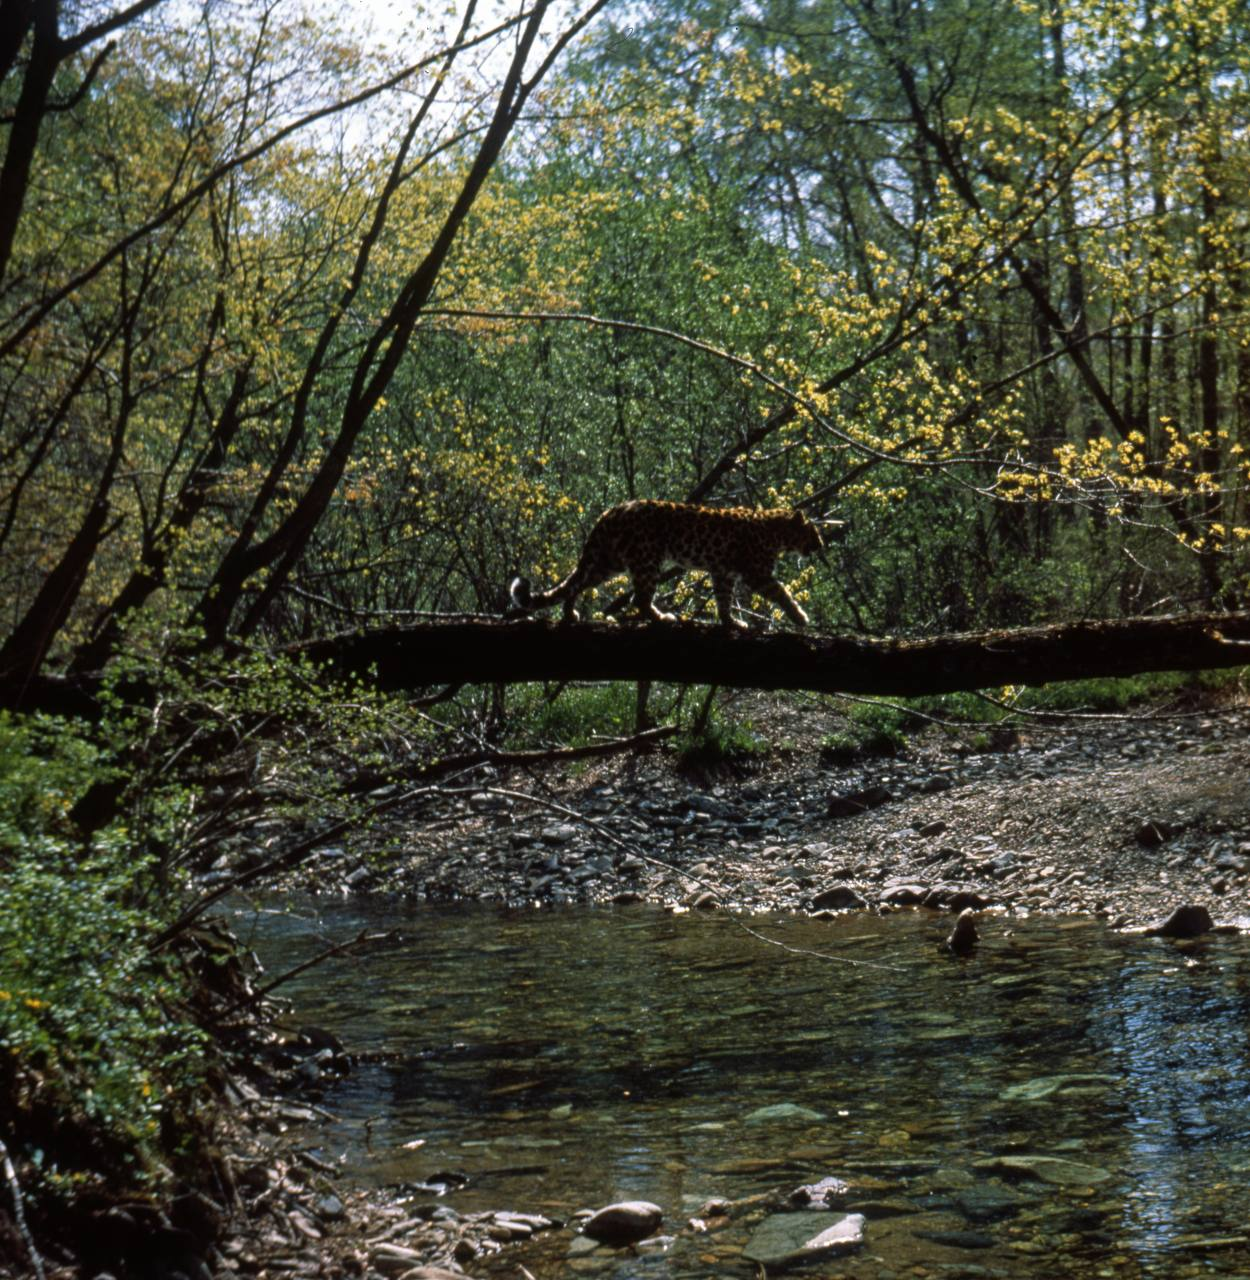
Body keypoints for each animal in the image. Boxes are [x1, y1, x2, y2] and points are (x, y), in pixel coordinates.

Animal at [506, 496, 818, 627]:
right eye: (813, 533)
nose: (821, 545)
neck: (777, 531)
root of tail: (610, 512)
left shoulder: (723, 572)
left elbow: (723, 599)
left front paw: (731, 622)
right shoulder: (757, 574)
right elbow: (782, 592)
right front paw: (800, 617)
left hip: (608, 561)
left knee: (577, 584)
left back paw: (570, 614)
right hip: (647, 559)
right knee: (640, 600)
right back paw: (662, 617)